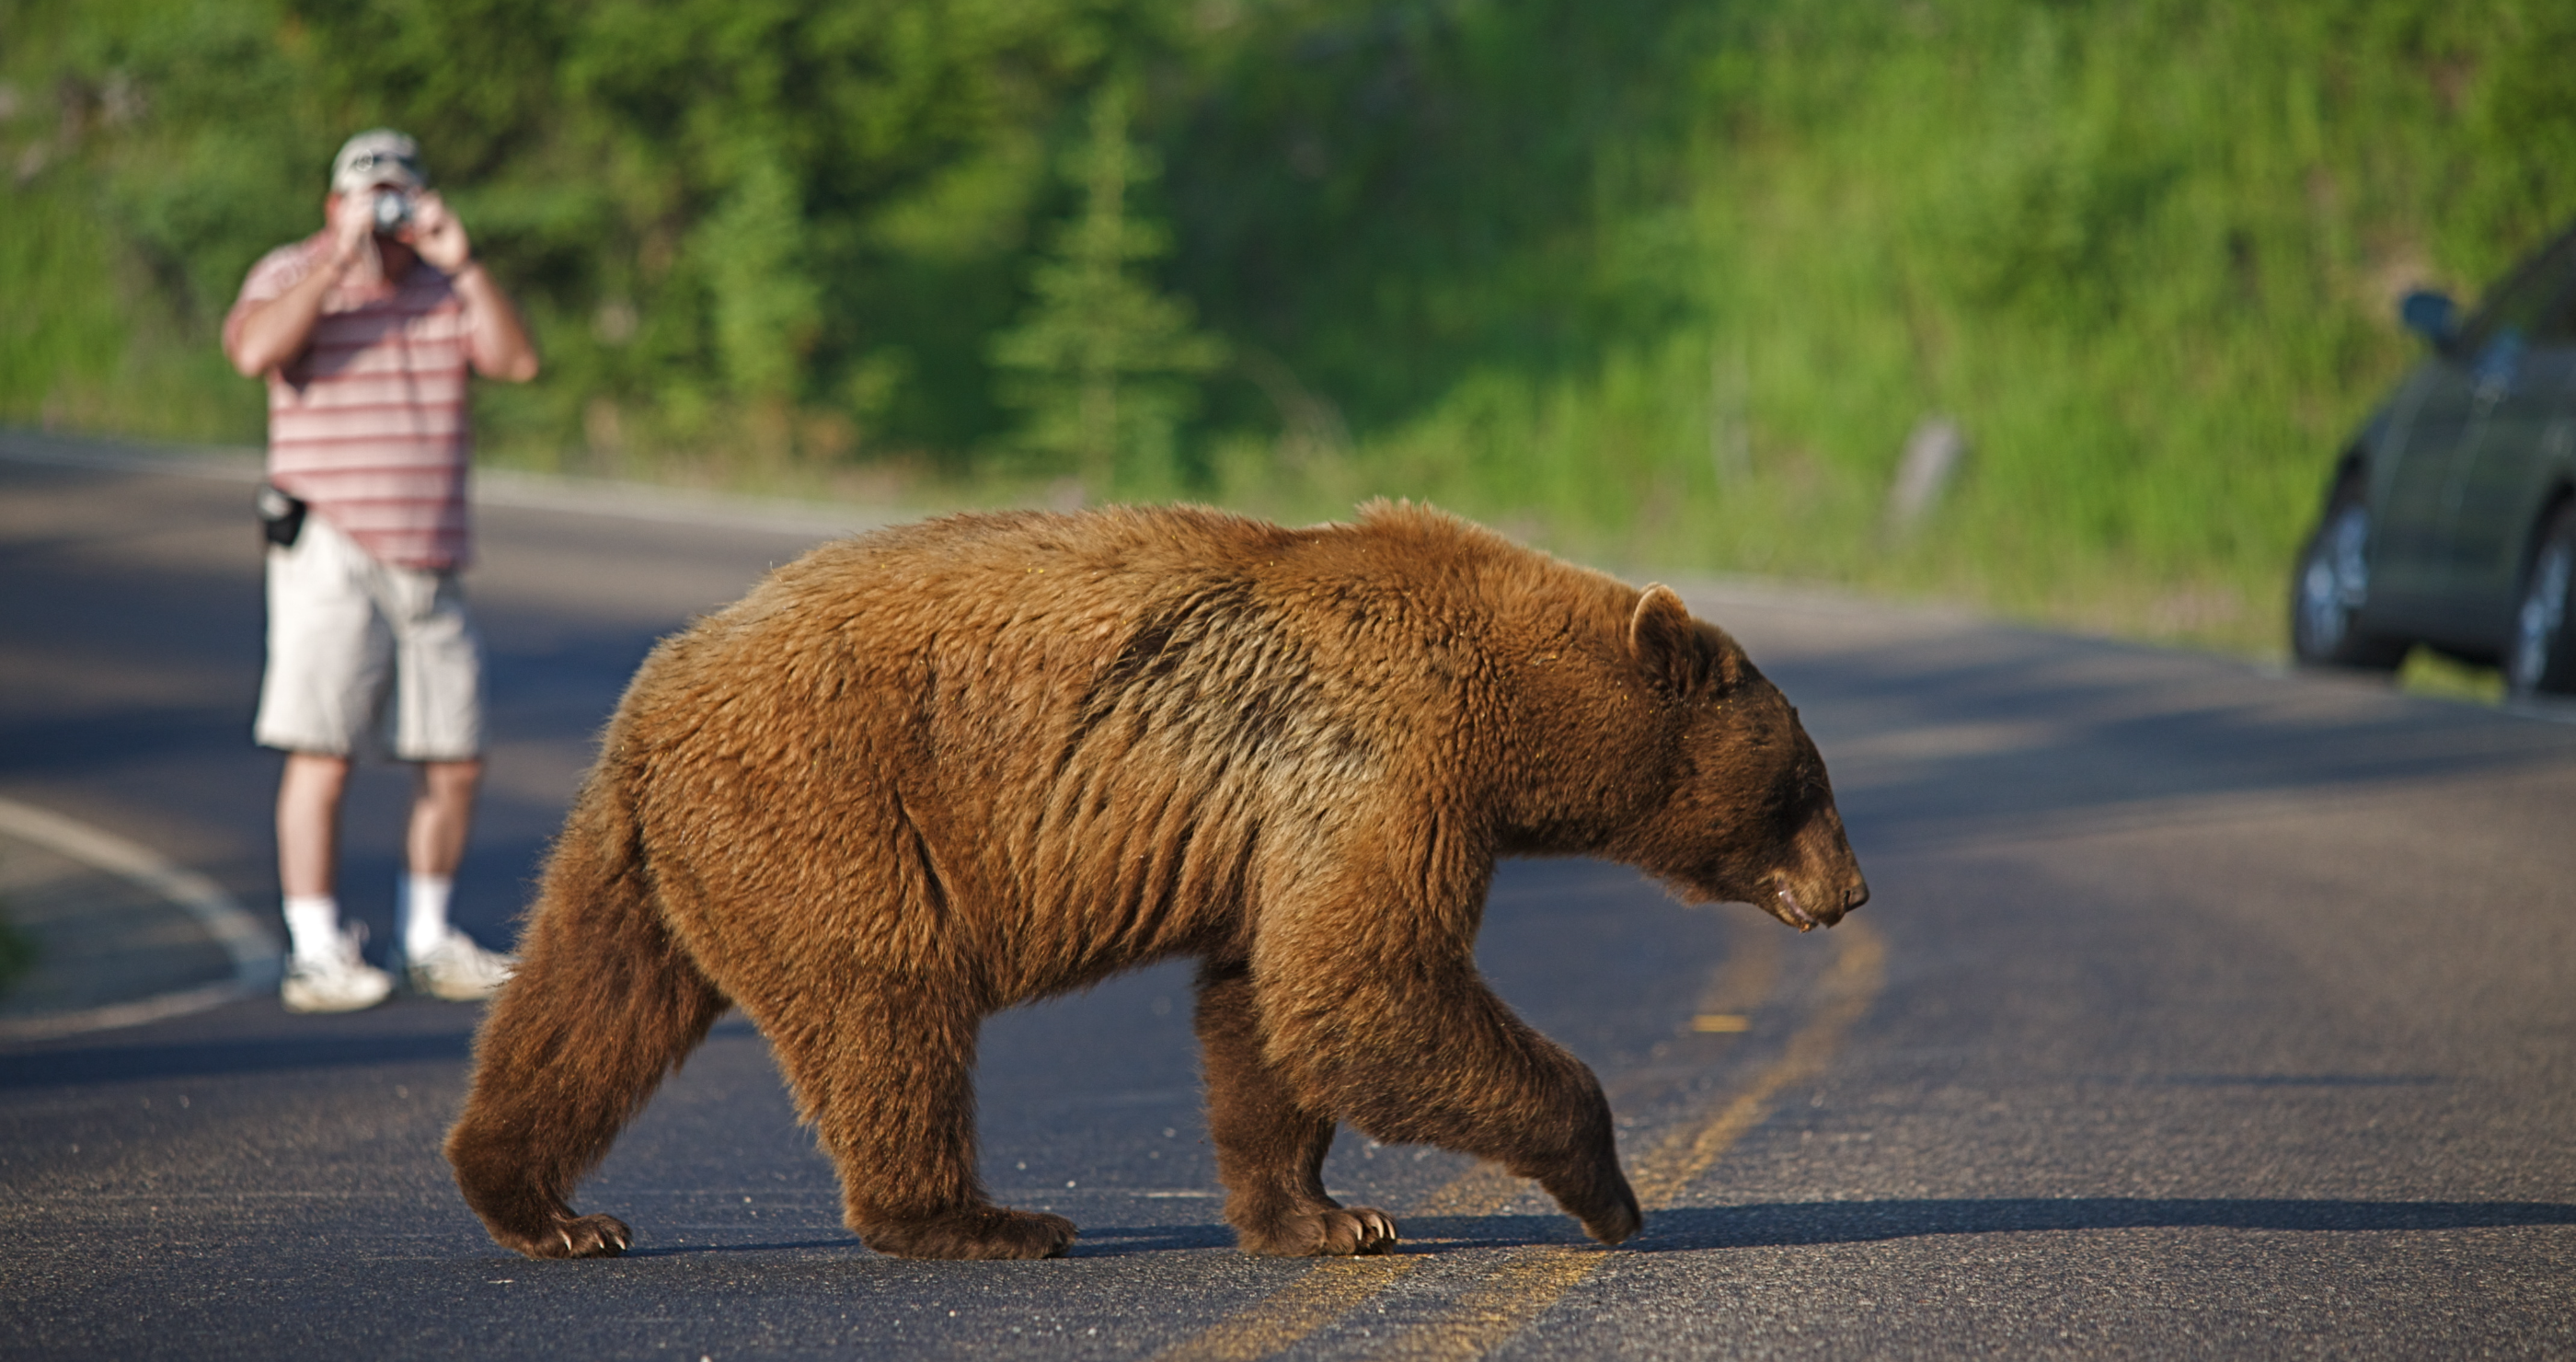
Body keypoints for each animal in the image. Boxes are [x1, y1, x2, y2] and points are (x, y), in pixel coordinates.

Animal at [444, 500, 1867, 1261]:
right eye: (1805, 782)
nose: (1852, 891)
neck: (1514, 717)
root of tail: (653, 697)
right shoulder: (1382, 757)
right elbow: (1366, 983)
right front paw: (1609, 1190)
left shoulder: (1283, 821)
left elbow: (1268, 1006)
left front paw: (1324, 1215)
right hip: (831, 809)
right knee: (886, 1006)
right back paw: (979, 1216)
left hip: (656, 852)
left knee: (590, 1005)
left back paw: (543, 1204)